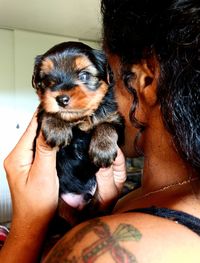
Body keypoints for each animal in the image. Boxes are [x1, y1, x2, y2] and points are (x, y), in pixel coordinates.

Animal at [31, 42, 123, 212]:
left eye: (84, 75)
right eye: (47, 80)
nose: (61, 99)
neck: (80, 120)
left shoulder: (116, 118)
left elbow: (107, 125)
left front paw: (103, 149)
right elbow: (47, 111)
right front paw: (56, 126)